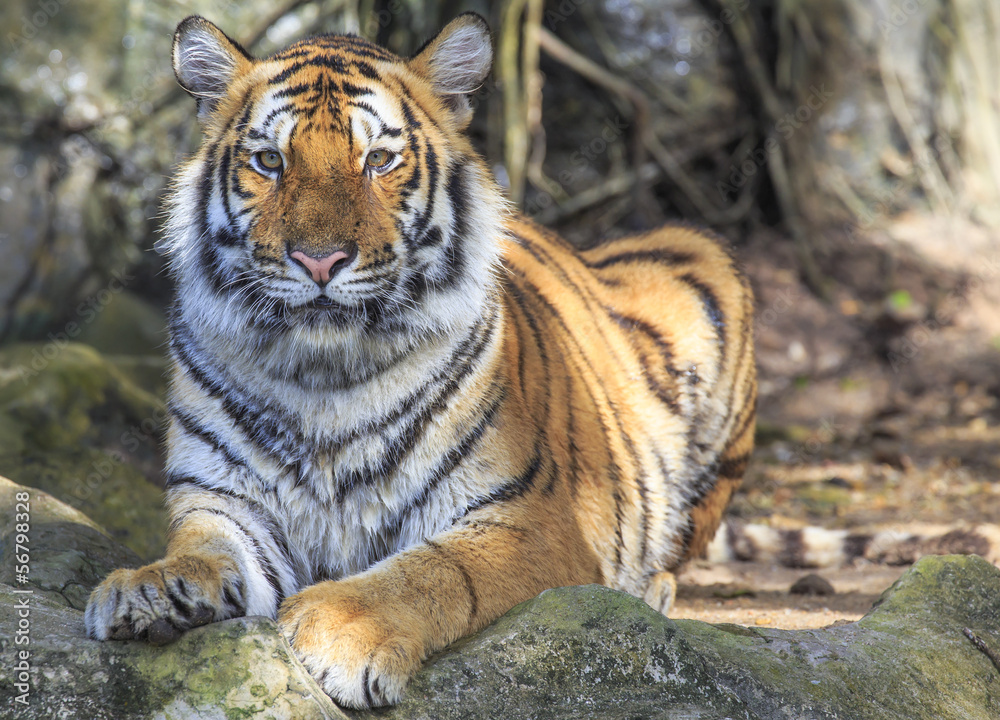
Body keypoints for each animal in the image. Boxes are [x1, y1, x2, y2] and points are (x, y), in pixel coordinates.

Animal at [84, 13, 756, 708]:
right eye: (270, 161)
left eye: (378, 160)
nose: (320, 260)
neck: (323, 377)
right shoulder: (221, 496)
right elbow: (204, 548)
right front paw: (151, 589)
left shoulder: (531, 516)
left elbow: (433, 570)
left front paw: (339, 627)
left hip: (701, 264)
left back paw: (652, 587)